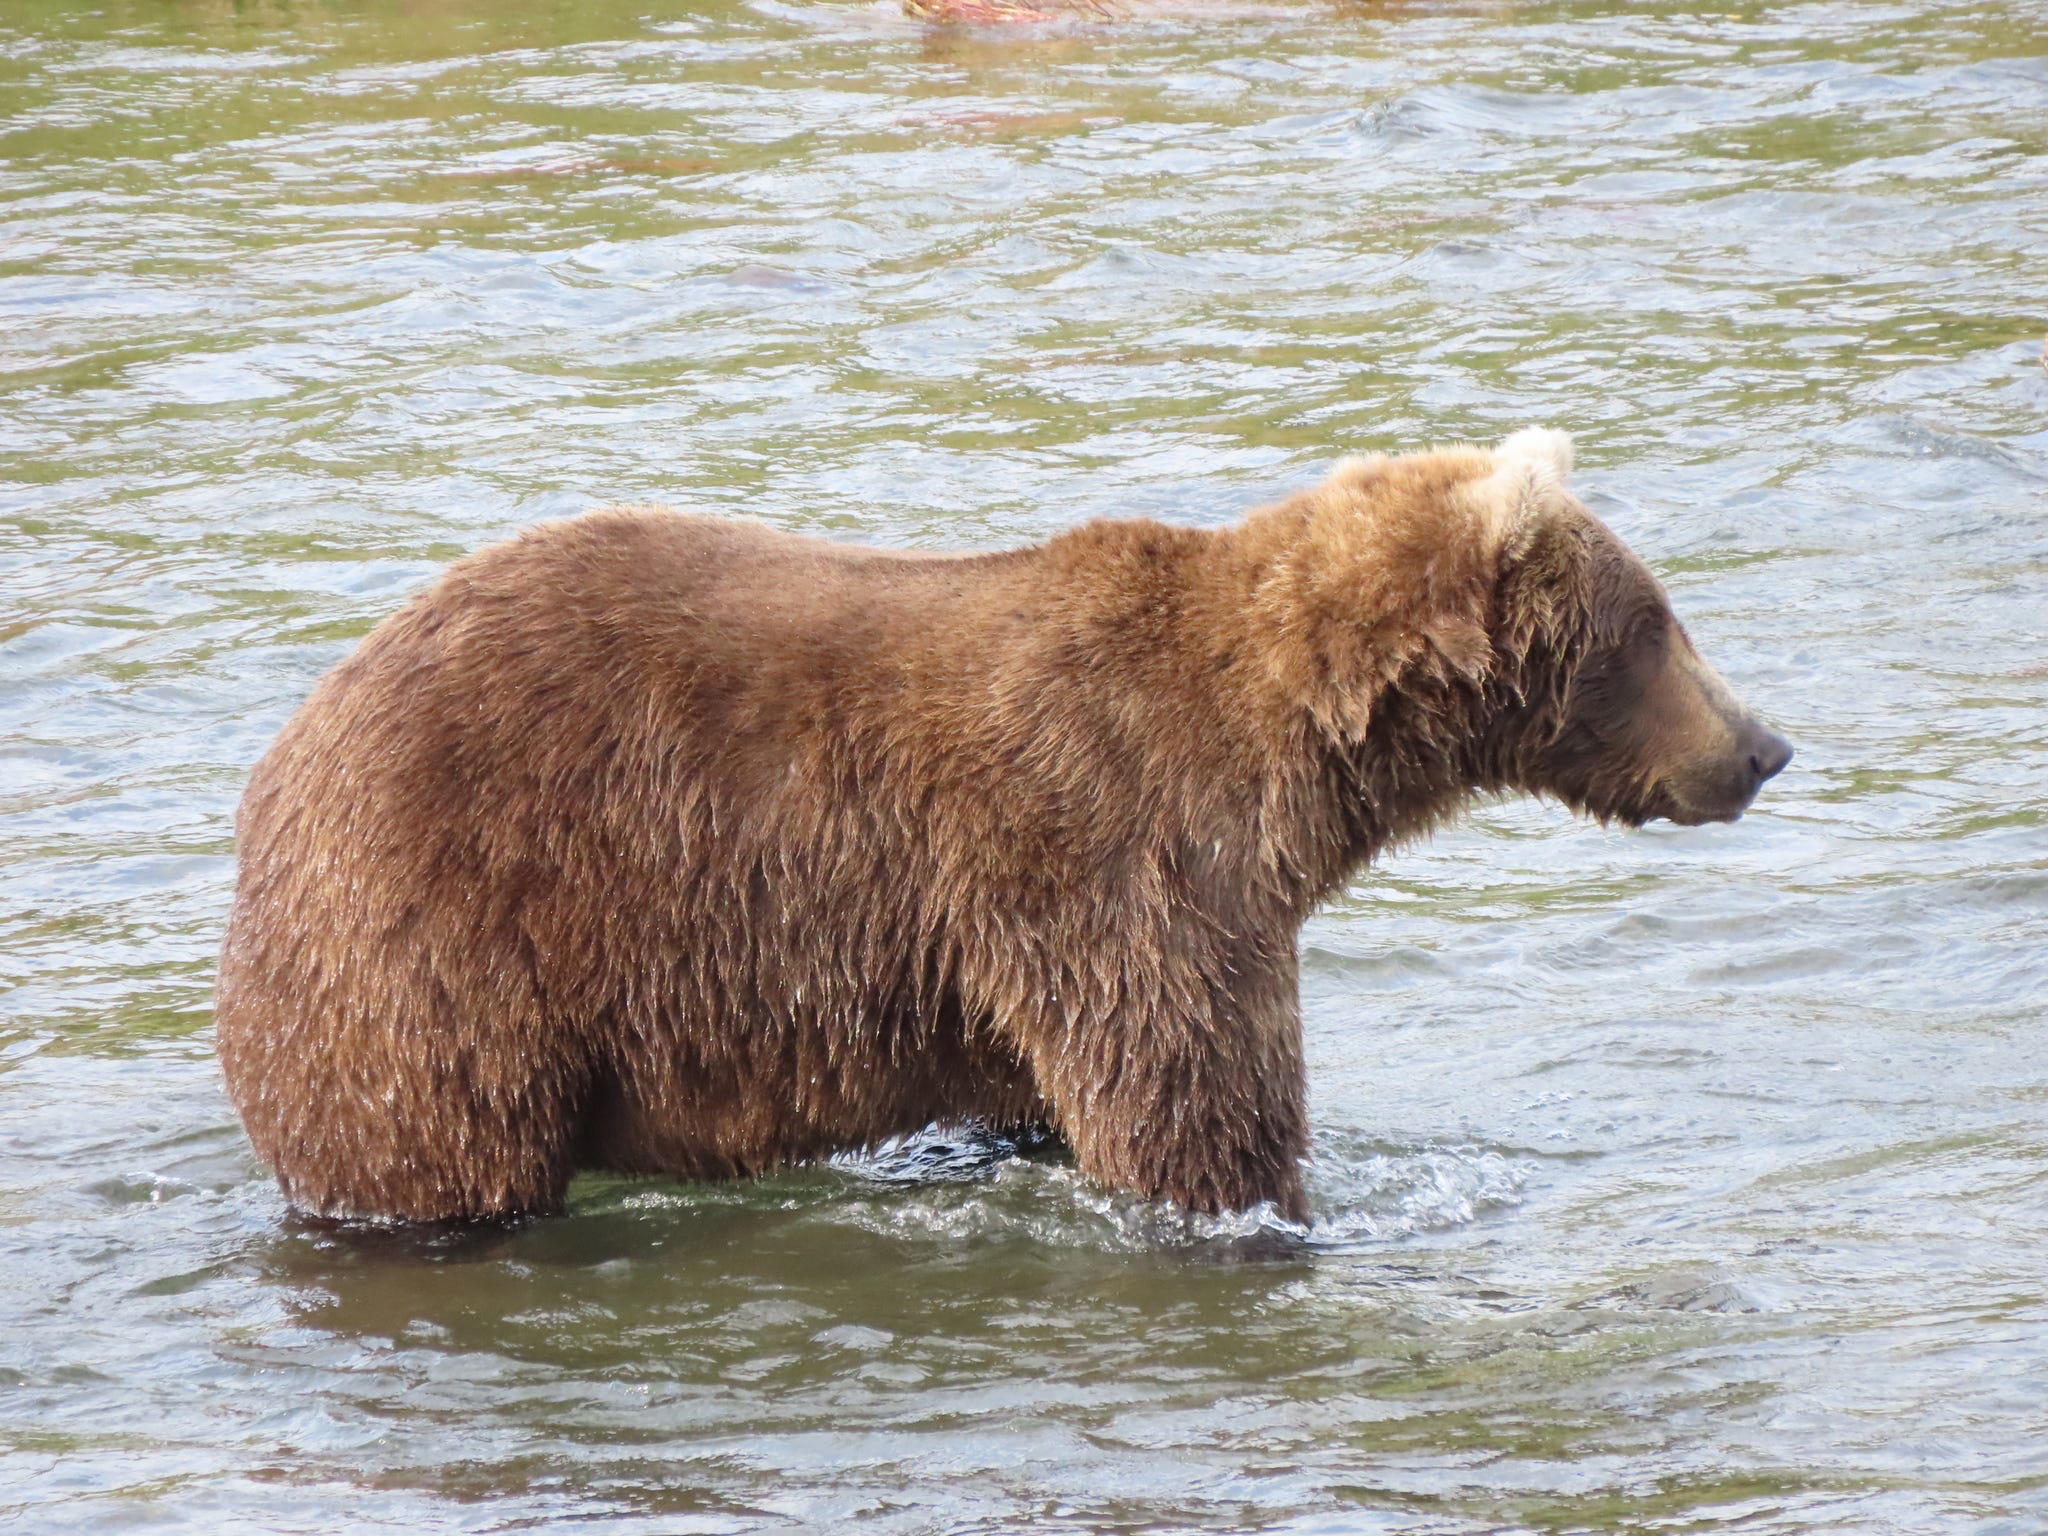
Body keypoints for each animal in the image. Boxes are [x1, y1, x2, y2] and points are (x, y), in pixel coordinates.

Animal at [214, 430, 1790, 1226]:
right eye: (1656, 626)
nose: (1763, 747)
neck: (1293, 764)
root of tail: (278, 767)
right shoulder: (1120, 856)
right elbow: (1188, 1105)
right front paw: (1271, 1211)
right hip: (439, 941)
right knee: (439, 1154)